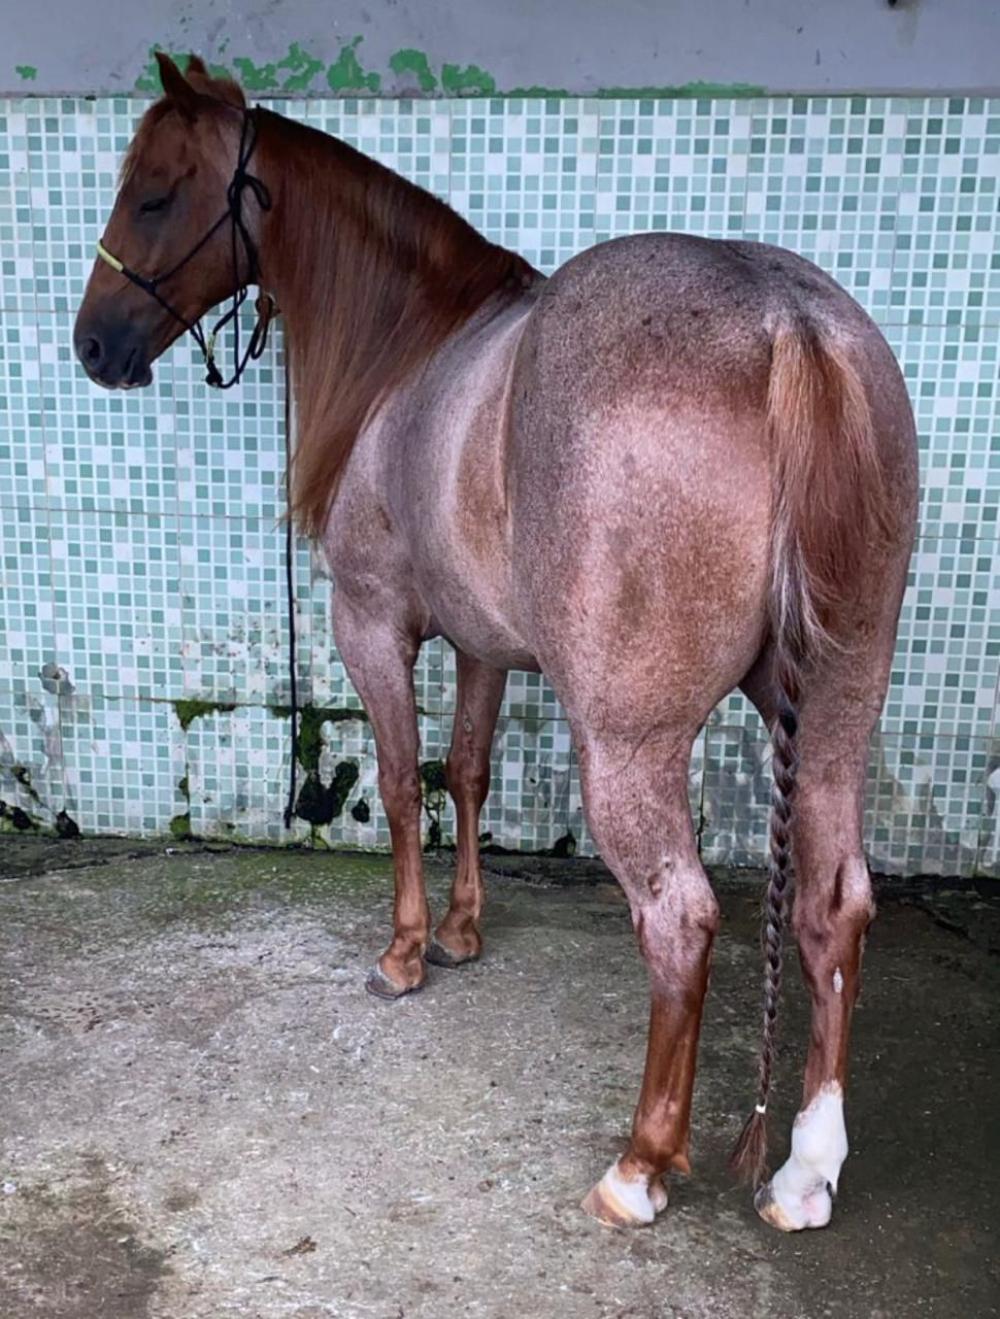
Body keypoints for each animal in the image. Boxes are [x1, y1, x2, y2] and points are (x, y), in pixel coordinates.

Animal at [74, 54, 918, 1233]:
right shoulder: (480, 645)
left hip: (629, 745)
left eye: (155, 193)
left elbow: (397, 778)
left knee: (680, 917)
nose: (93, 345)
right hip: (837, 707)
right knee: (834, 905)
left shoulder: (373, 625)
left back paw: (640, 1165)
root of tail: (787, 326)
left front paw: (405, 950)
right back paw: (806, 1170)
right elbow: (465, 769)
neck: (412, 351)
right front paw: (464, 928)